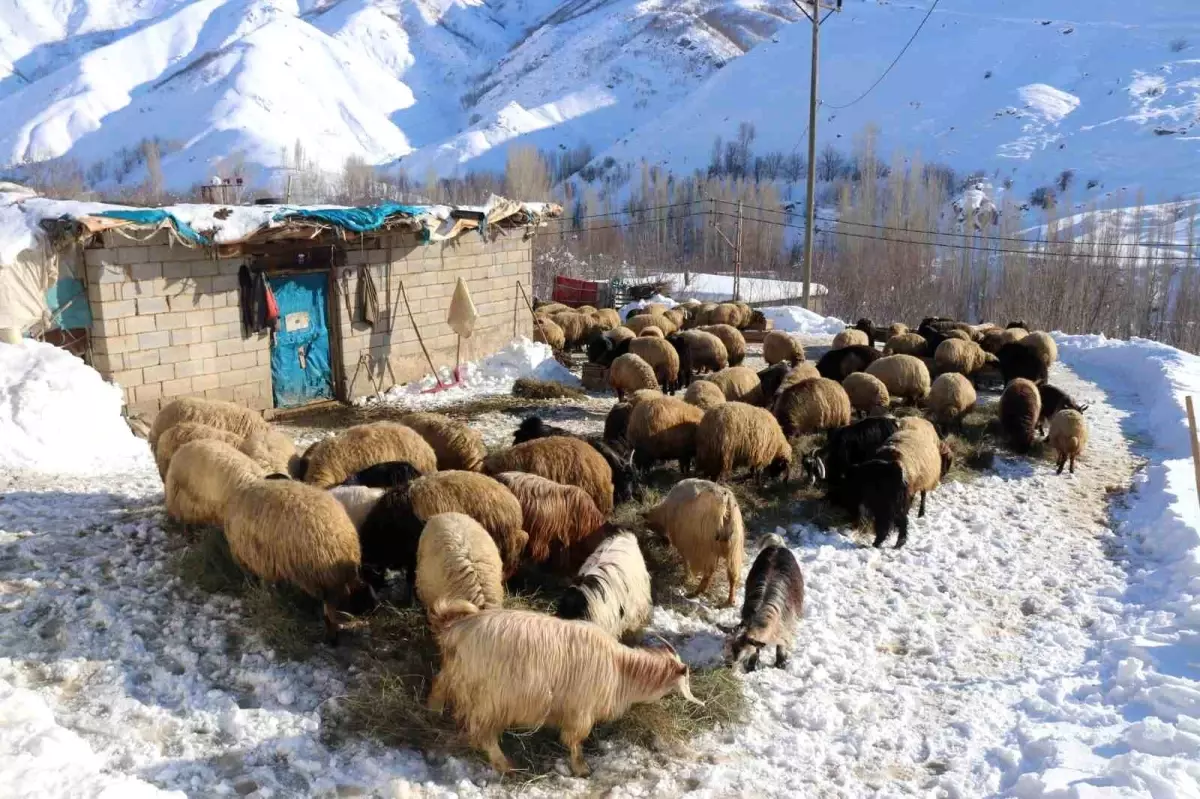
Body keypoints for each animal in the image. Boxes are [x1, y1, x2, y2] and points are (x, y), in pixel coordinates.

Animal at [427, 599, 700, 772]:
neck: (622, 669)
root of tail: (454, 629)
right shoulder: (581, 711)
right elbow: (575, 741)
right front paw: (581, 769)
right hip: (490, 699)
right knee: (482, 734)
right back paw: (505, 766)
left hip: (457, 675)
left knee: (439, 685)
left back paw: (433, 711)